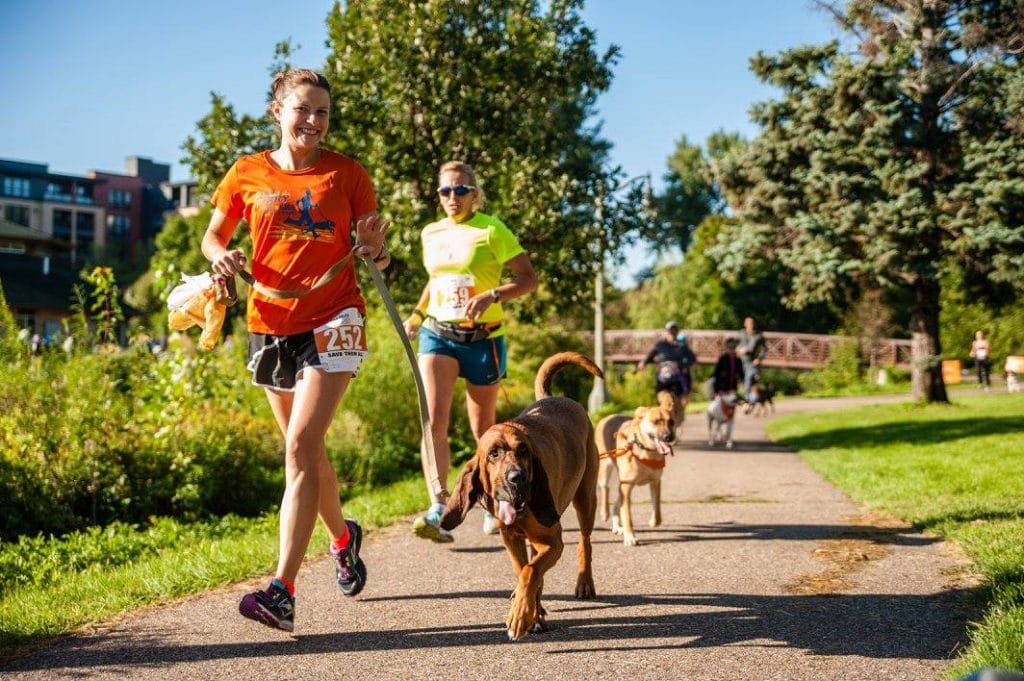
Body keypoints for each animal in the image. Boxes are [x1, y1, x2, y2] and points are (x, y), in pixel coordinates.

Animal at [438, 348, 598, 639]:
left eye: (523, 450)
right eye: (493, 454)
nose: (518, 478)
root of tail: (553, 398)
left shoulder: (554, 541)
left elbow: (530, 571)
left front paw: (522, 615)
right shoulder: (511, 538)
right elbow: (523, 569)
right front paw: (532, 612)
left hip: (585, 499)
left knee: (585, 541)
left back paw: (584, 583)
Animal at [598, 401, 675, 544]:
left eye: (671, 422)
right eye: (656, 421)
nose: (669, 437)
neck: (646, 451)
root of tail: (608, 416)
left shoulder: (655, 482)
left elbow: (657, 509)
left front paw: (653, 521)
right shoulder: (626, 486)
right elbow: (627, 515)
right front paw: (630, 536)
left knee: (616, 504)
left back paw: (617, 527)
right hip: (606, 467)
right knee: (605, 488)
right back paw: (604, 513)